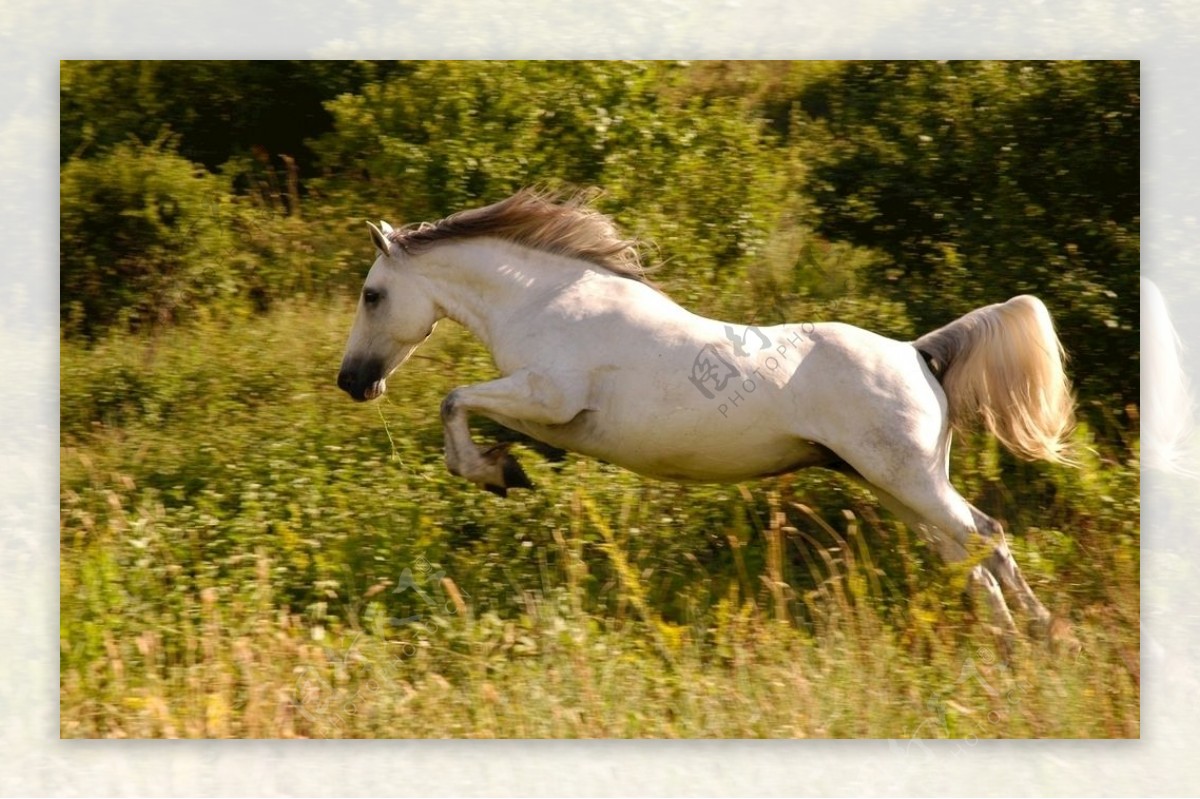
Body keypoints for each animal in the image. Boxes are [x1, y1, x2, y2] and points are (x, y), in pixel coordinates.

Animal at [340, 188, 1080, 633]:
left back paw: (1044, 636)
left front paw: (495, 471)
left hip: (910, 480)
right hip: (893, 485)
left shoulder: (550, 396)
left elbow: (455, 399)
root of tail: (917, 352)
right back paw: (1003, 641)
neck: (546, 301)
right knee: (964, 552)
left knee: (987, 533)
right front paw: (504, 467)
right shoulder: (545, 411)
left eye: (373, 295)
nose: (352, 381)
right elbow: (470, 411)